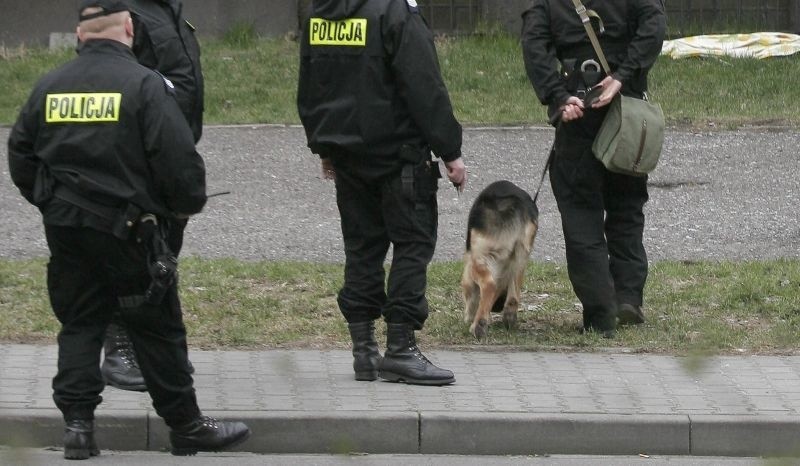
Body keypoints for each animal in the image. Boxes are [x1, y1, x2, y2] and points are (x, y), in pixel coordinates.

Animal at [462, 179, 536, 338]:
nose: (496, 308)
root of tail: (516, 204)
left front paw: (472, 316)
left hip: (483, 257)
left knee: (489, 285)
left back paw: (478, 326)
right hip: (521, 256)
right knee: (513, 296)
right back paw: (508, 317)